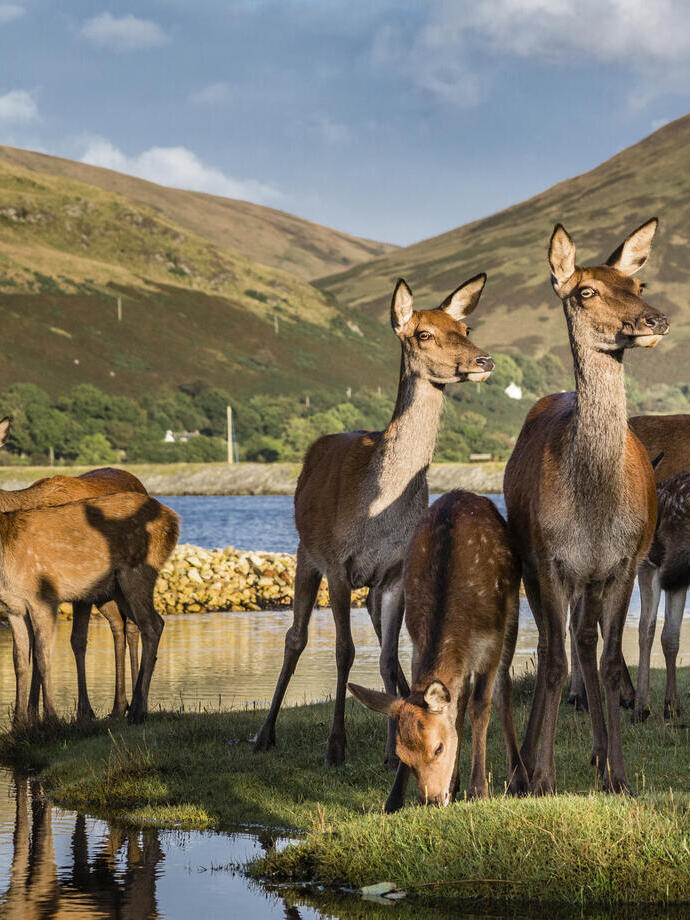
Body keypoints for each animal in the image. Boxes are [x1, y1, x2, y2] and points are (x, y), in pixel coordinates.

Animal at [3, 491, 179, 726]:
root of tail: (174, 519)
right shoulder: (14, 607)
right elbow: (19, 660)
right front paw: (18, 723)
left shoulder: (44, 598)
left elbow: (43, 656)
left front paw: (51, 720)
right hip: (117, 587)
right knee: (146, 623)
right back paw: (133, 708)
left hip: (138, 571)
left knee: (152, 624)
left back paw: (138, 712)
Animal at [253, 274, 494, 766]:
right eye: (424, 333)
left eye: (465, 326)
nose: (484, 360)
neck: (377, 513)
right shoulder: (338, 565)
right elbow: (344, 651)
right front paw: (335, 746)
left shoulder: (395, 573)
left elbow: (385, 657)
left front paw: (392, 751)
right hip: (305, 552)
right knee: (295, 637)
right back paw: (264, 733)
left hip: (374, 588)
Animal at [349, 490, 529, 810]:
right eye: (402, 756)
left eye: (438, 748)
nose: (431, 799)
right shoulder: (417, 643)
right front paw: (393, 799)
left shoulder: (491, 641)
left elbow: (481, 707)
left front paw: (478, 790)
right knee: (459, 701)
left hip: (511, 615)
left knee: (503, 691)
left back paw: (519, 779)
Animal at [504, 218, 669, 794]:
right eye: (586, 291)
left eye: (638, 284)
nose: (655, 318)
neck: (594, 513)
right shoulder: (550, 561)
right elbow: (552, 661)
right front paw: (542, 777)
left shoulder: (623, 564)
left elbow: (612, 660)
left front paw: (619, 773)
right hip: (533, 564)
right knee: (553, 645)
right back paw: (522, 767)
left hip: (594, 579)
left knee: (584, 641)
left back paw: (597, 756)